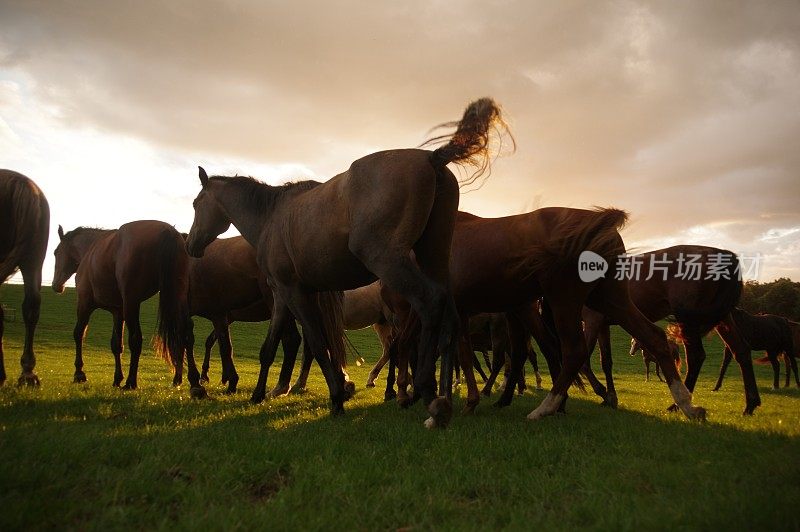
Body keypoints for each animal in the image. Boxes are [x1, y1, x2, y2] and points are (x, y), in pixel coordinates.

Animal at [52, 220, 205, 394]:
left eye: (56, 252)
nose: (56, 285)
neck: (90, 250)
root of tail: (168, 231)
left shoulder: (85, 304)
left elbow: (78, 334)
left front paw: (79, 373)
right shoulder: (117, 312)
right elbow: (116, 345)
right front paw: (117, 378)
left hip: (132, 303)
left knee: (136, 339)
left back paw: (131, 382)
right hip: (177, 296)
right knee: (186, 333)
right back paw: (195, 382)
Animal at [187, 97, 510, 426]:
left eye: (196, 203)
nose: (191, 244)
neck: (271, 217)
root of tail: (432, 159)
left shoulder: (295, 292)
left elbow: (318, 344)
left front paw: (336, 398)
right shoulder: (281, 294)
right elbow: (271, 347)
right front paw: (258, 394)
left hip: (390, 263)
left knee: (429, 306)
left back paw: (427, 393)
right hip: (433, 259)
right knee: (450, 319)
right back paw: (447, 398)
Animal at [580, 245, 760, 416]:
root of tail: (722, 253)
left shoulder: (591, 320)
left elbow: (584, 361)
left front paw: (603, 393)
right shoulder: (602, 325)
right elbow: (606, 362)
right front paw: (610, 397)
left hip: (689, 320)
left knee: (696, 357)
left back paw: (677, 406)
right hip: (722, 318)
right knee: (741, 351)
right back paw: (750, 405)